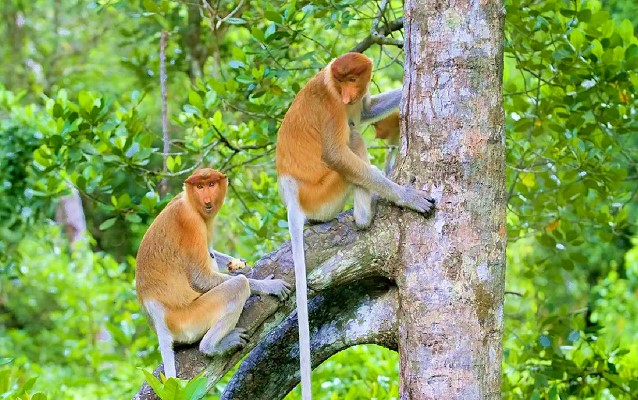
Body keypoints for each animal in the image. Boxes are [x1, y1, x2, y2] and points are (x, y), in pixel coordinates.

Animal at [139, 168, 294, 378]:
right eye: (200, 186)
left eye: (211, 184)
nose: (206, 199)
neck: (190, 202)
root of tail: (156, 310)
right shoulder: (191, 222)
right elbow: (200, 278)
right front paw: (269, 286)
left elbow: (211, 252)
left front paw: (243, 267)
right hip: (189, 319)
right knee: (237, 286)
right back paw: (212, 346)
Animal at [278, 51, 438, 398]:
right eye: (342, 83)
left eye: (353, 80)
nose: (348, 95)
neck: (331, 84)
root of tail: (291, 194)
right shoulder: (330, 105)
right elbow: (336, 153)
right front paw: (408, 197)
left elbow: (364, 110)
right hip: (322, 193)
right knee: (351, 138)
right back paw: (367, 212)